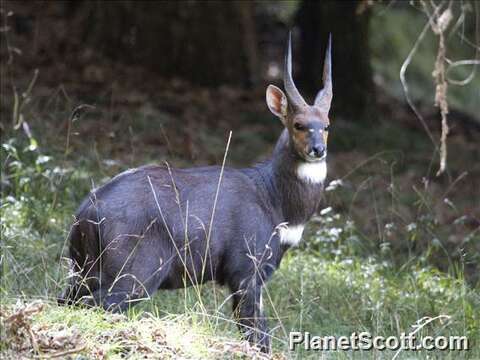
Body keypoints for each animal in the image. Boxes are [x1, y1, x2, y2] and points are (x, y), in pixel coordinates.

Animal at [60, 34, 334, 352]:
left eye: (326, 126)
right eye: (298, 124)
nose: (317, 149)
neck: (273, 199)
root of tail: (86, 213)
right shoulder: (245, 271)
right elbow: (257, 335)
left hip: (83, 271)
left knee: (66, 300)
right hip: (134, 275)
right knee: (95, 305)